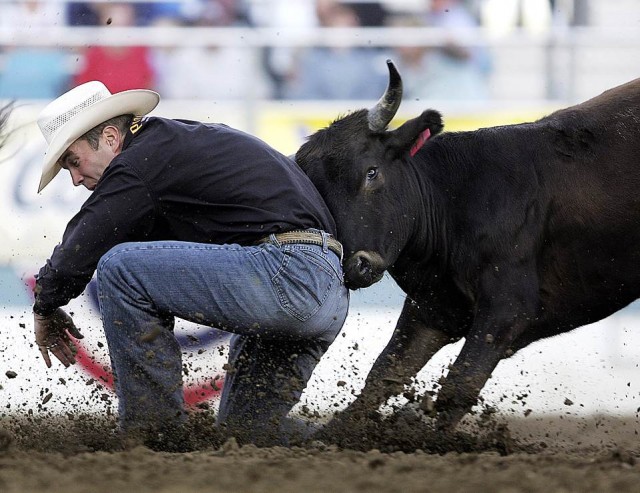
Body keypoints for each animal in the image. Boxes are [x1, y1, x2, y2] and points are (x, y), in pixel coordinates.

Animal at [298, 59, 640, 430]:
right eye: (317, 193)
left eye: (371, 172)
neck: (456, 200)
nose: (355, 265)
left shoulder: (507, 310)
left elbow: (459, 385)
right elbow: (384, 375)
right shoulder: (433, 308)